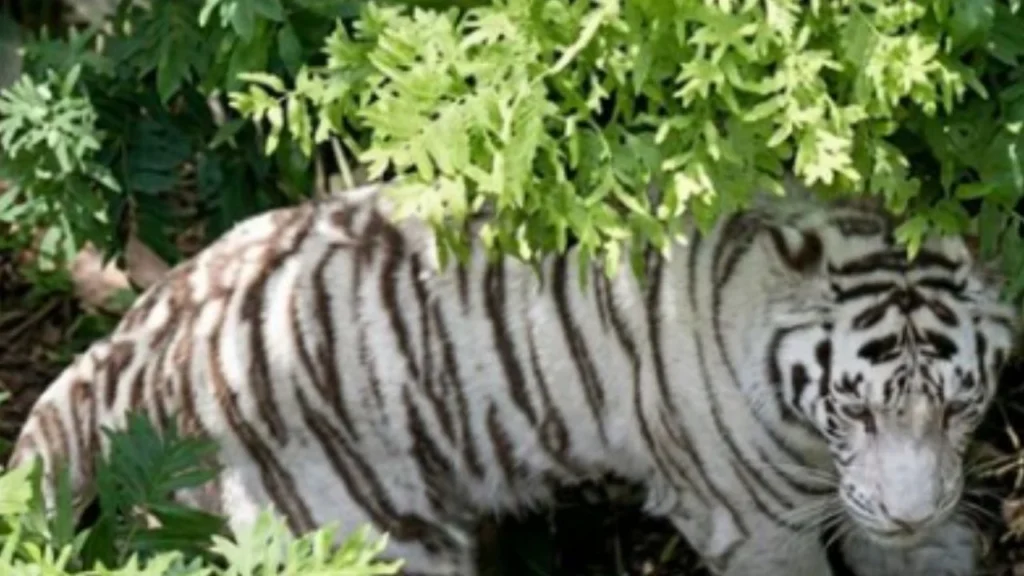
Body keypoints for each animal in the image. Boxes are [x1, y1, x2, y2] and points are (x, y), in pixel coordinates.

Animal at [6, 177, 1018, 576]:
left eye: (959, 407)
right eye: (854, 408)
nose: (910, 509)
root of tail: (131, 337)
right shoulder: (752, 526)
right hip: (364, 542)